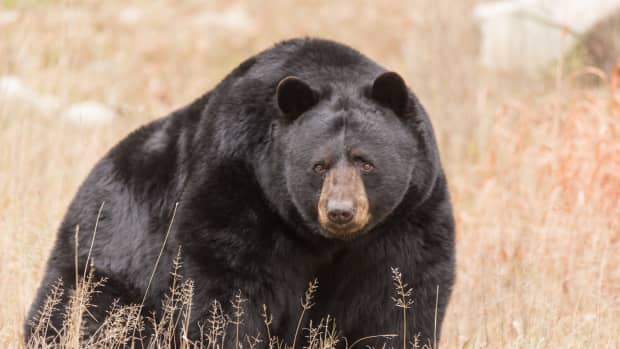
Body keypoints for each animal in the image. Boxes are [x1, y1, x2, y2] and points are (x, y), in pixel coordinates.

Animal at [25, 38, 456, 346]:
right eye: (318, 166)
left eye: (366, 162)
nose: (340, 211)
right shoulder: (237, 189)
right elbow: (225, 292)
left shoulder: (408, 215)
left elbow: (398, 297)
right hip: (108, 261)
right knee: (87, 313)